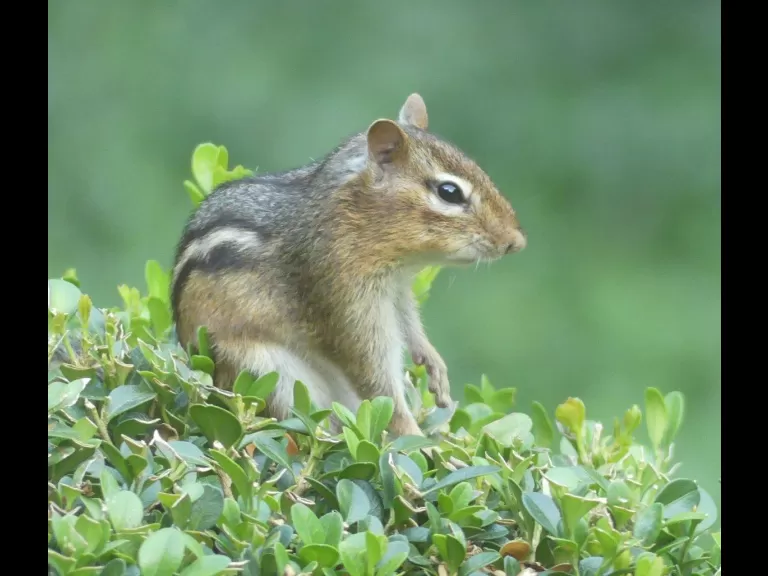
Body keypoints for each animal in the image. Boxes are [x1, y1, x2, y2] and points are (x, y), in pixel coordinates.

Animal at [170, 93, 526, 437]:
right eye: (449, 192)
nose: (516, 242)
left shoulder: (397, 290)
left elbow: (410, 323)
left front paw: (433, 364)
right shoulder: (345, 299)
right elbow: (374, 373)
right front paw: (414, 438)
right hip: (268, 374)